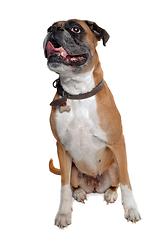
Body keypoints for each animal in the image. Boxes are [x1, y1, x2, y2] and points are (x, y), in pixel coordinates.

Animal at [43, 19, 141, 229]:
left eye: (75, 28)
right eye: (50, 26)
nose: (53, 30)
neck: (78, 92)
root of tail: (95, 186)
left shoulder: (118, 143)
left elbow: (127, 182)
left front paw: (131, 209)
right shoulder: (61, 147)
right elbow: (64, 186)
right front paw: (63, 213)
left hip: (113, 167)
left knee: (116, 183)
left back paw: (110, 193)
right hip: (73, 169)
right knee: (73, 185)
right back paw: (80, 192)